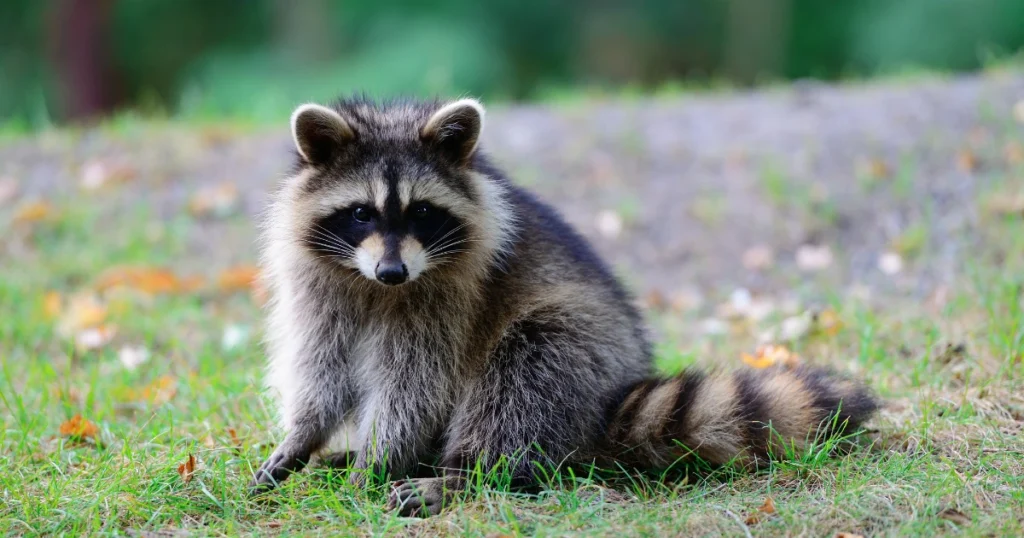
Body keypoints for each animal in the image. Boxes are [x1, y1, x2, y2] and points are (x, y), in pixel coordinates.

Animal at [251, 96, 876, 516]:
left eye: (422, 213)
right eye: (361, 213)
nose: (393, 271)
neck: (375, 287)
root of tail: (612, 398)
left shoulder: (449, 298)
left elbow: (415, 384)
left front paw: (380, 461)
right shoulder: (320, 285)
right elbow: (322, 367)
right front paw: (304, 436)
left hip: (577, 347)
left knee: (523, 376)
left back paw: (465, 473)